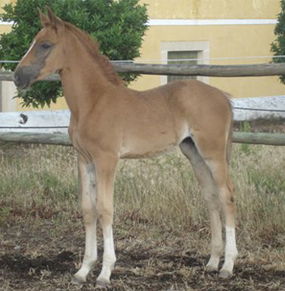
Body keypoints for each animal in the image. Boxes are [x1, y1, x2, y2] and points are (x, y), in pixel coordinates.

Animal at [13, 8, 236, 288]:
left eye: (45, 45)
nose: (17, 76)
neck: (92, 102)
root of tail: (222, 96)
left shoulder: (106, 160)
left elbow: (105, 210)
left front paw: (105, 273)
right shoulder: (84, 160)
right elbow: (88, 210)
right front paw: (83, 270)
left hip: (213, 153)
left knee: (227, 196)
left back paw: (228, 266)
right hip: (193, 153)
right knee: (211, 197)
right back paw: (212, 262)